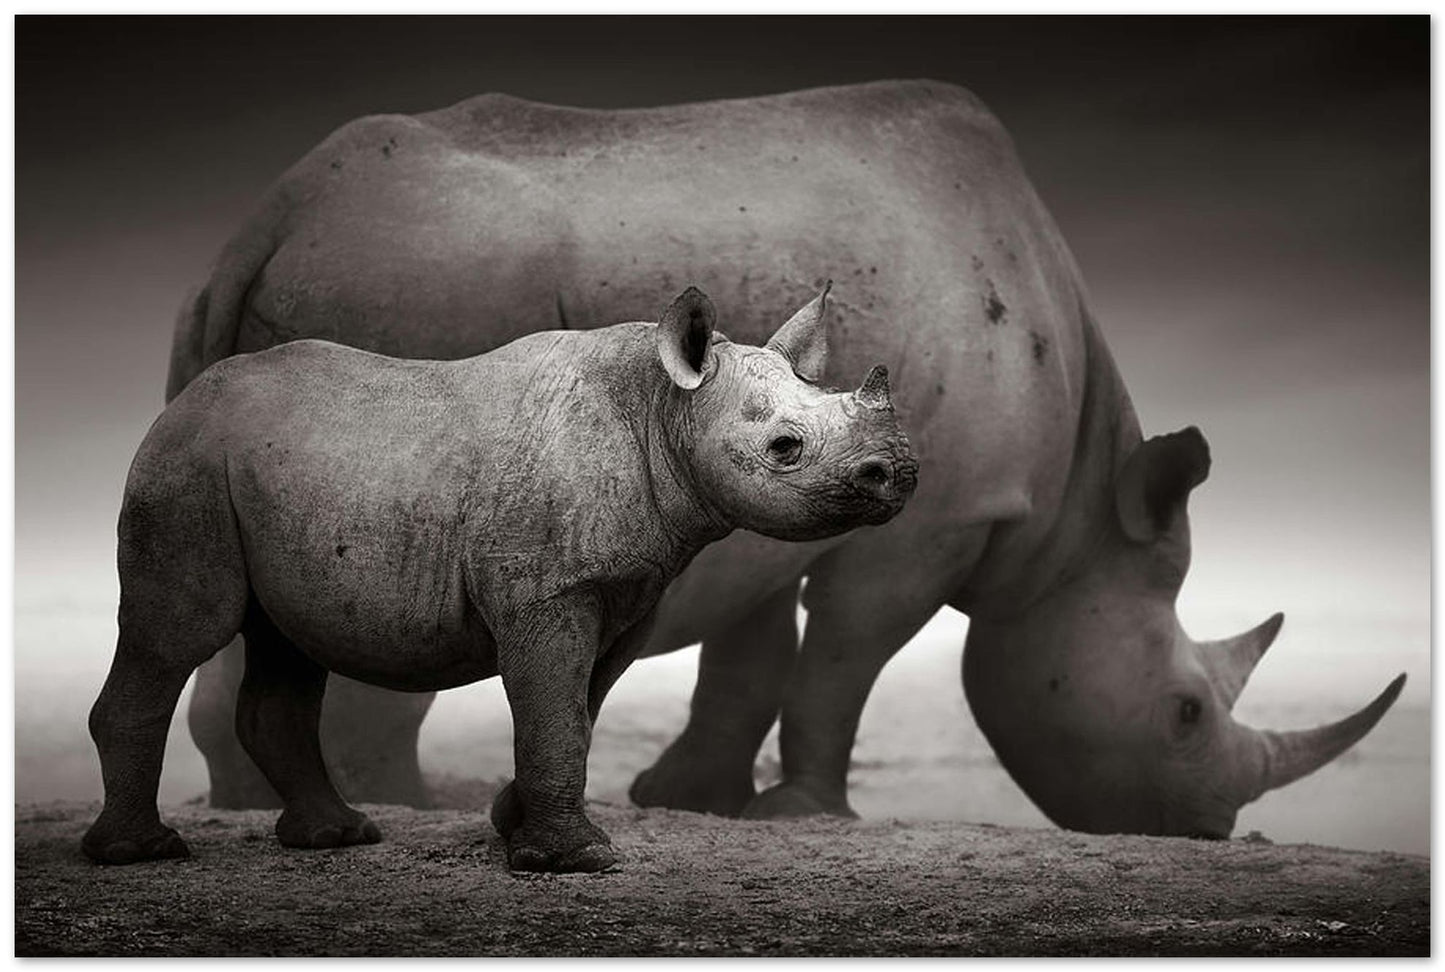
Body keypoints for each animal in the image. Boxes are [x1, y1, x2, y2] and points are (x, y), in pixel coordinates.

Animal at [82, 286, 918, 872]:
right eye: (784, 447)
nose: (899, 474)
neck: (663, 410)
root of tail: (183, 401)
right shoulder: (548, 593)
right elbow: (554, 712)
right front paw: (574, 861)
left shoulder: (627, 592)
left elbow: (577, 710)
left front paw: (510, 826)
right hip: (187, 465)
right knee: (181, 632)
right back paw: (140, 854)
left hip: (263, 473)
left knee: (284, 644)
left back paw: (336, 837)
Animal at [174, 80, 1404, 838]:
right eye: (1185, 714)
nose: (1208, 829)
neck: (1072, 522)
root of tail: (265, 221)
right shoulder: (939, 519)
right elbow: (843, 658)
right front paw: (804, 813)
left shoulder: (770, 487)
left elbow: (751, 654)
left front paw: (692, 799)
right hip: (423, 286)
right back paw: (410, 805)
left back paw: (267, 808)